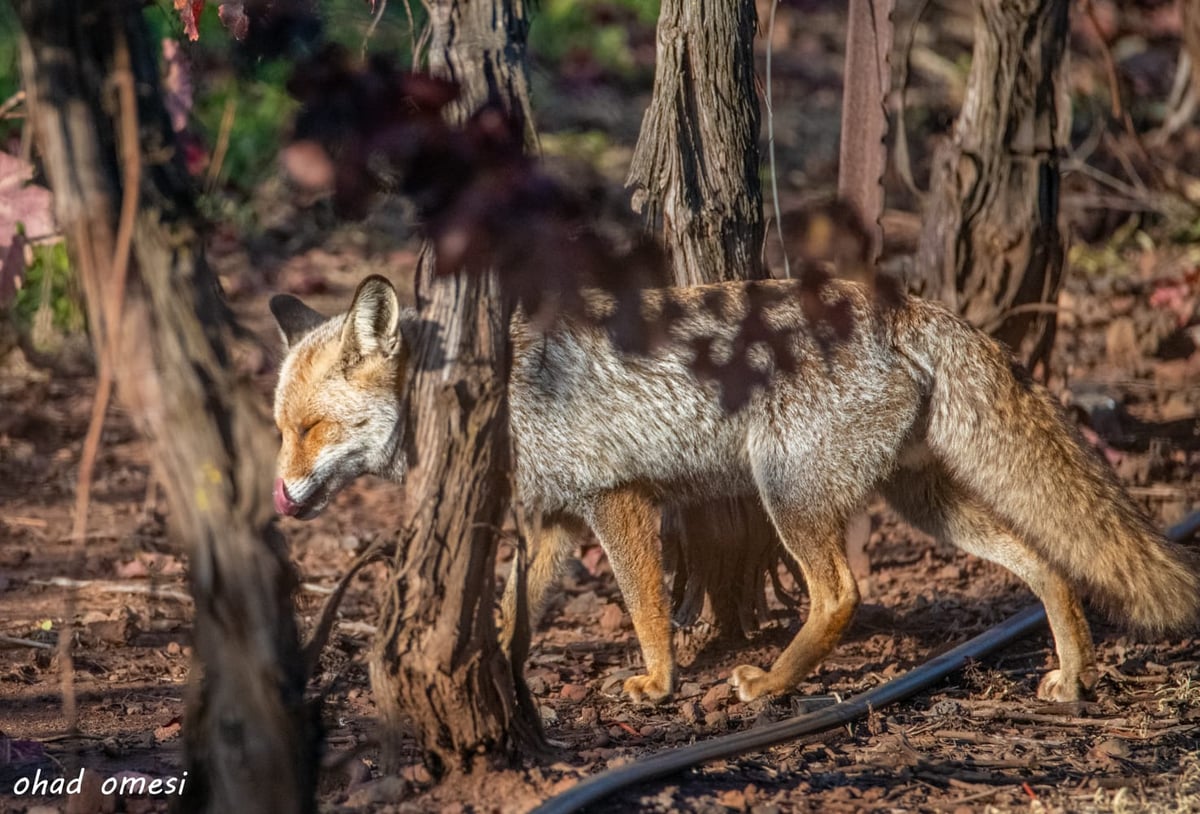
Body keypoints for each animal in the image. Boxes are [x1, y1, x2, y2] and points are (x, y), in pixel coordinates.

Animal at [272, 276, 1200, 705]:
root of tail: (900, 301)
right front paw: (497, 677)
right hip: (925, 504)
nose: (279, 496)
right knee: (1045, 559)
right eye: (280, 427)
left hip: (788, 492)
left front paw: (657, 686)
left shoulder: (618, 500)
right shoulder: (552, 526)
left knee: (841, 593)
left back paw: (773, 686)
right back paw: (1072, 673)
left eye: (311, 429)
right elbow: (511, 615)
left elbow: (646, 611)